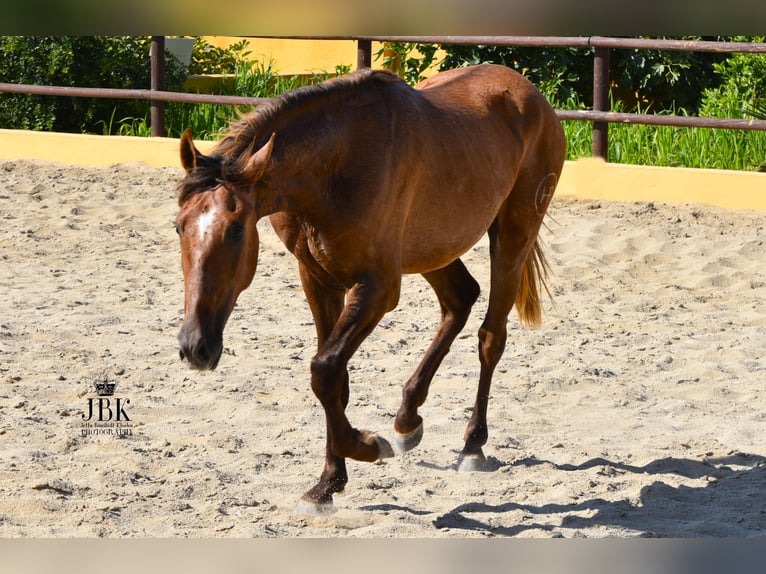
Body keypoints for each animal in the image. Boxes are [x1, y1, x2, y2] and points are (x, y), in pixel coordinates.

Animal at [176, 64, 568, 516]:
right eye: (179, 226)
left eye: (237, 230)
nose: (195, 347)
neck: (335, 168)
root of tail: (530, 95)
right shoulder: (317, 279)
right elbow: (335, 381)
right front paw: (328, 483)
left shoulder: (378, 287)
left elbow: (324, 370)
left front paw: (366, 447)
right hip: (432, 250)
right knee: (460, 299)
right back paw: (407, 419)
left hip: (512, 236)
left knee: (490, 337)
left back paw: (472, 445)